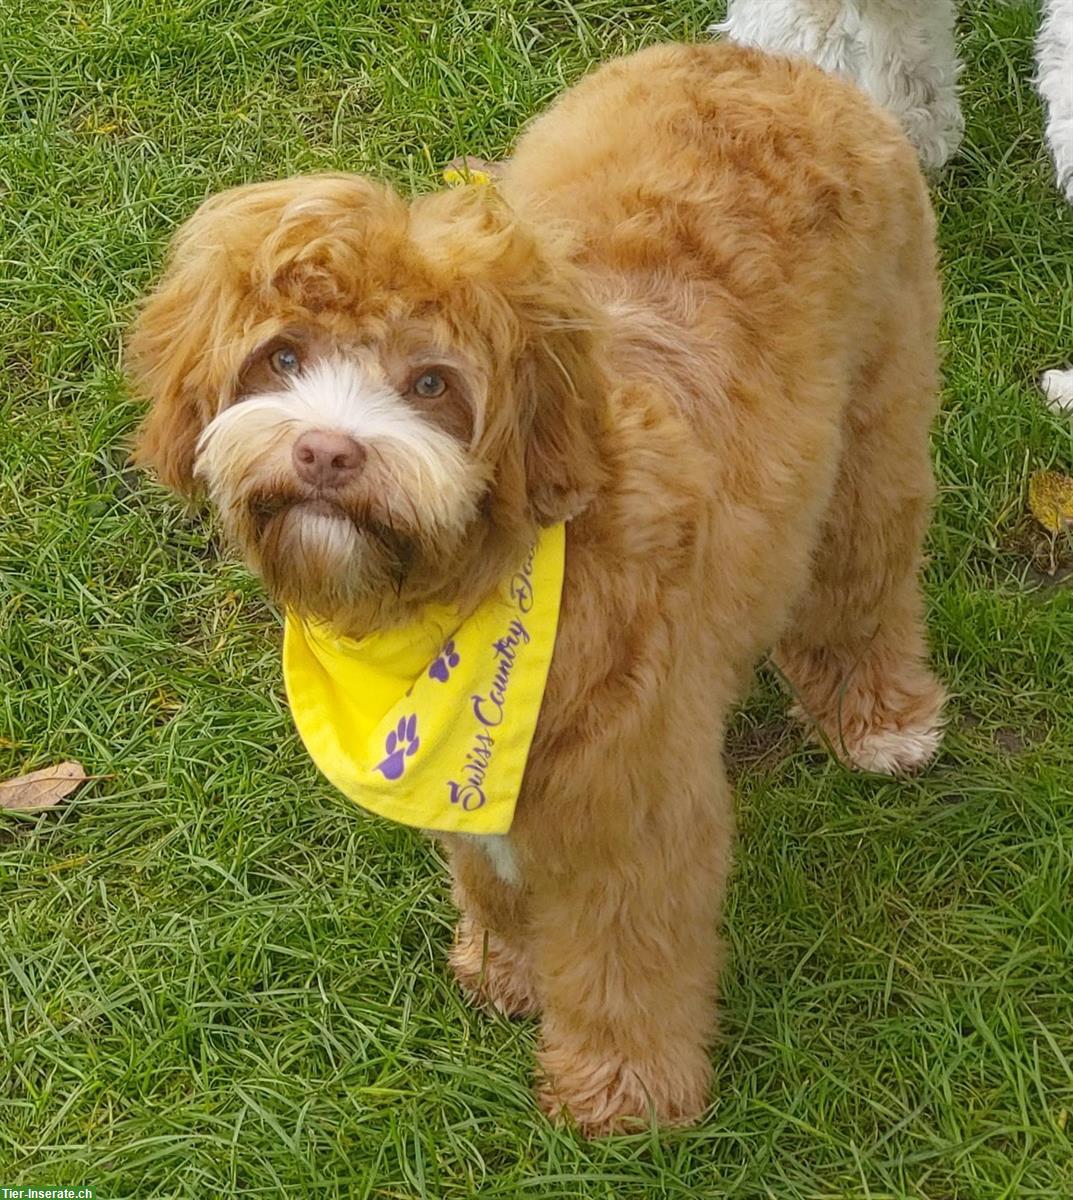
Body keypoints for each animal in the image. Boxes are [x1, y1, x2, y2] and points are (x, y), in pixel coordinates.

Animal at [128, 44, 950, 1132]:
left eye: (432, 383)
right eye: (283, 355)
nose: (326, 452)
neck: (472, 585)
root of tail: (760, 60)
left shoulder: (628, 805)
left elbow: (621, 956)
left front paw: (622, 1089)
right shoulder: (483, 776)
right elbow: (492, 871)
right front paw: (508, 966)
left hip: (878, 418)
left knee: (865, 573)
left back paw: (878, 715)